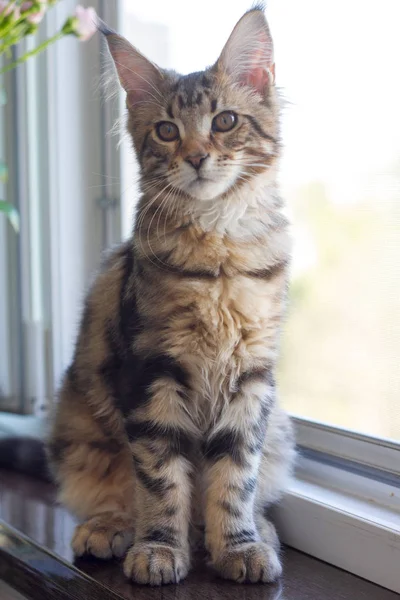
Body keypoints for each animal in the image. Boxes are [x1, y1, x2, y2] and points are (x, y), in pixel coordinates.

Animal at [47, 4, 296, 584]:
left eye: (225, 122)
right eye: (166, 131)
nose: (197, 157)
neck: (219, 250)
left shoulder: (253, 379)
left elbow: (235, 478)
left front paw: (239, 547)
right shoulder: (152, 371)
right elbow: (161, 480)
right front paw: (159, 549)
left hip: (280, 427)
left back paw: (257, 533)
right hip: (79, 429)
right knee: (117, 491)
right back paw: (110, 529)